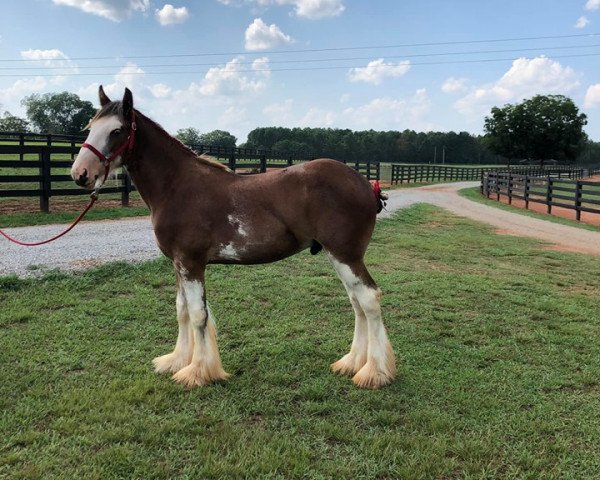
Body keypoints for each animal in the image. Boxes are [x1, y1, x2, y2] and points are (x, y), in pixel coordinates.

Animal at [70, 88, 396, 390]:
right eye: (90, 127)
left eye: (116, 130)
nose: (80, 174)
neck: (177, 186)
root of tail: (366, 185)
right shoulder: (178, 264)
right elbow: (182, 311)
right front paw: (176, 360)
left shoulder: (190, 262)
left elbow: (198, 315)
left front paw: (197, 372)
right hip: (338, 256)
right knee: (356, 302)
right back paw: (351, 363)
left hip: (346, 255)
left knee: (368, 299)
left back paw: (373, 373)